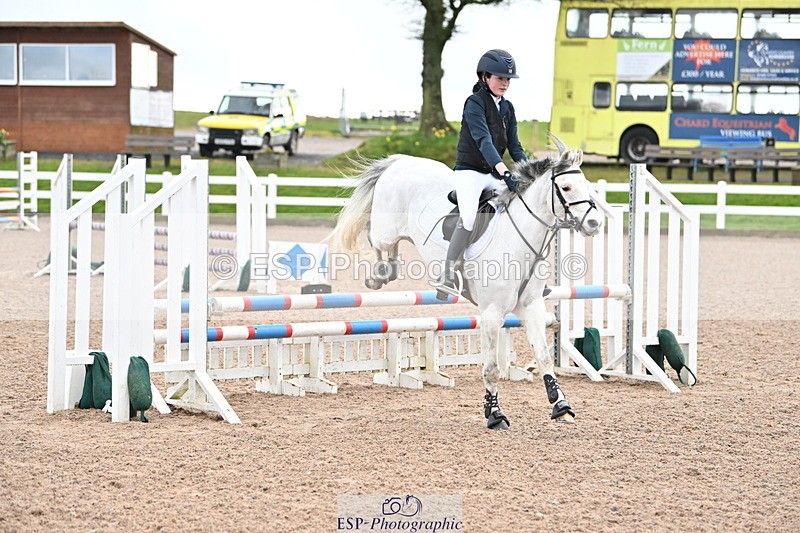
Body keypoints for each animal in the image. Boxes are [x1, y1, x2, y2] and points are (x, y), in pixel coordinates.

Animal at [328, 136, 603, 429]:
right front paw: (494, 413)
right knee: (374, 238)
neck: (518, 239)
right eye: (566, 187)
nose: (594, 223)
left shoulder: (532, 308)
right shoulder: (492, 314)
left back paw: (388, 271)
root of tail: (402, 161)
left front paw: (560, 404)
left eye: (587, 186)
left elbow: (543, 357)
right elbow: (492, 369)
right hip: (386, 230)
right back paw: (377, 275)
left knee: (390, 251)